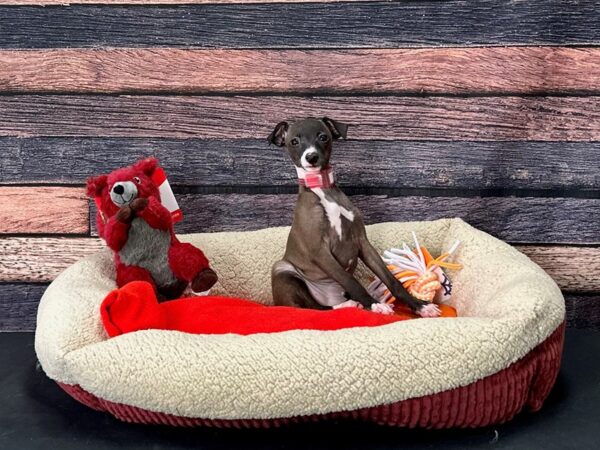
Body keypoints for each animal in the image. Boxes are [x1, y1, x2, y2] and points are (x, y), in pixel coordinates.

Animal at [268, 118, 440, 318]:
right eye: (294, 142)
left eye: (323, 137)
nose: (311, 157)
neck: (323, 190)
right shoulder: (319, 251)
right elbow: (351, 281)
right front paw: (374, 305)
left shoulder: (362, 242)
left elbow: (391, 280)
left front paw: (420, 305)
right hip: (282, 268)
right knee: (310, 308)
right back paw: (348, 304)